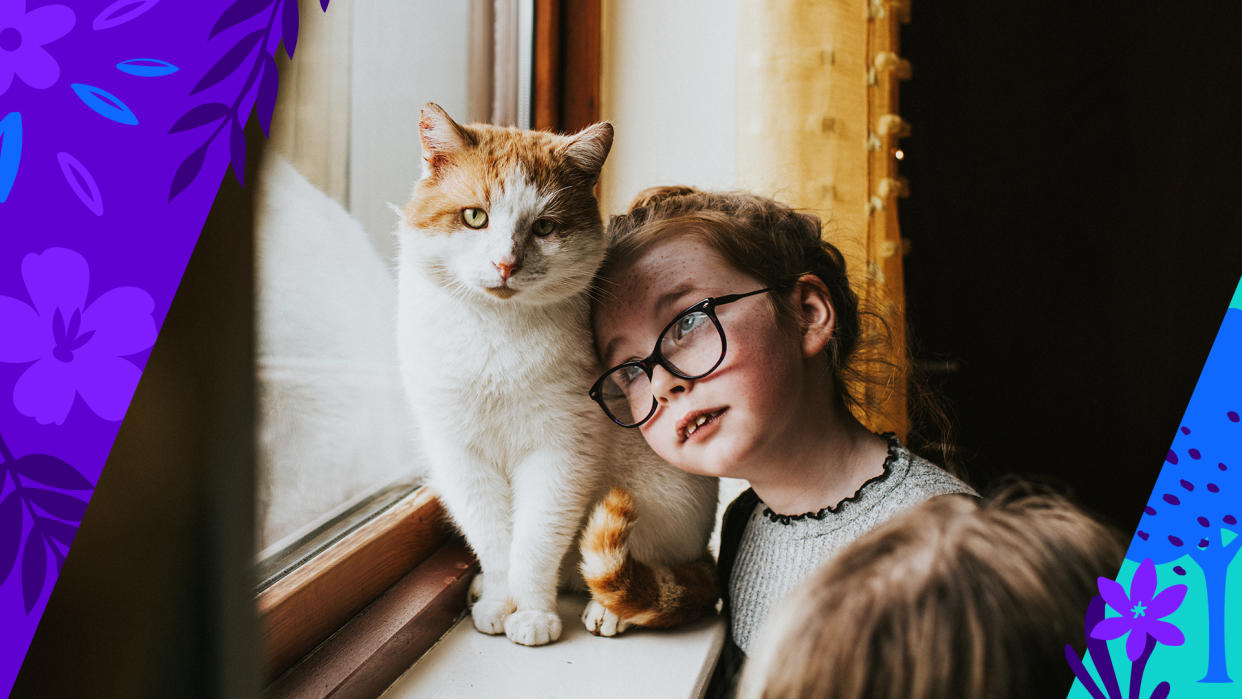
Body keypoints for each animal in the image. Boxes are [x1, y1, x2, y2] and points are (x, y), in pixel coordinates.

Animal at [397, 102, 720, 645]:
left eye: (544, 228)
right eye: (474, 217)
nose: (505, 264)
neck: (495, 337)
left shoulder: (561, 454)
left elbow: (534, 543)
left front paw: (531, 614)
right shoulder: (461, 456)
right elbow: (494, 541)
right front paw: (499, 602)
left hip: (664, 498)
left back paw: (609, 608)